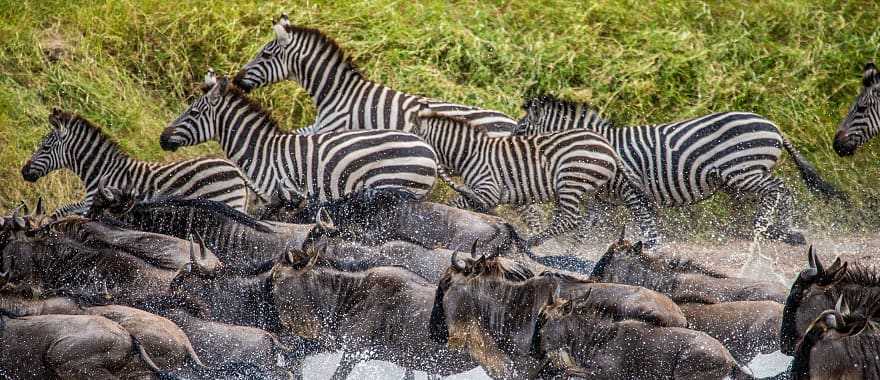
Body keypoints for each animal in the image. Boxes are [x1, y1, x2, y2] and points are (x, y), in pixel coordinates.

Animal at [19, 108, 254, 215]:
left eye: (45, 148)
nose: (23, 171)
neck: (101, 170)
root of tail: (236, 171)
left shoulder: (97, 201)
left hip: (225, 200)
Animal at [234, 13, 520, 137]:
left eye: (265, 55)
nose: (236, 80)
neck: (337, 93)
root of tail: (513, 121)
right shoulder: (320, 126)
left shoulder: (333, 128)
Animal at [410, 110, 656, 248]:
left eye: (413, 135)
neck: (470, 154)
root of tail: (607, 145)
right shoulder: (486, 194)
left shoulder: (488, 190)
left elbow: (455, 203)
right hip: (591, 190)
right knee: (578, 220)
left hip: (570, 181)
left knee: (570, 219)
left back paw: (533, 242)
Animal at [516, 93, 844, 245]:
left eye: (520, 130)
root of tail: (773, 125)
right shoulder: (604, 200)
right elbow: (584, 229)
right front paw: (574, 254)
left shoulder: (631, 192)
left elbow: (645, 226)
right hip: (744, 178)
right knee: (777, 191)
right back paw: (782, 230)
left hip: (744, 171)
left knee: (780, 190)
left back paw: (770, 227)